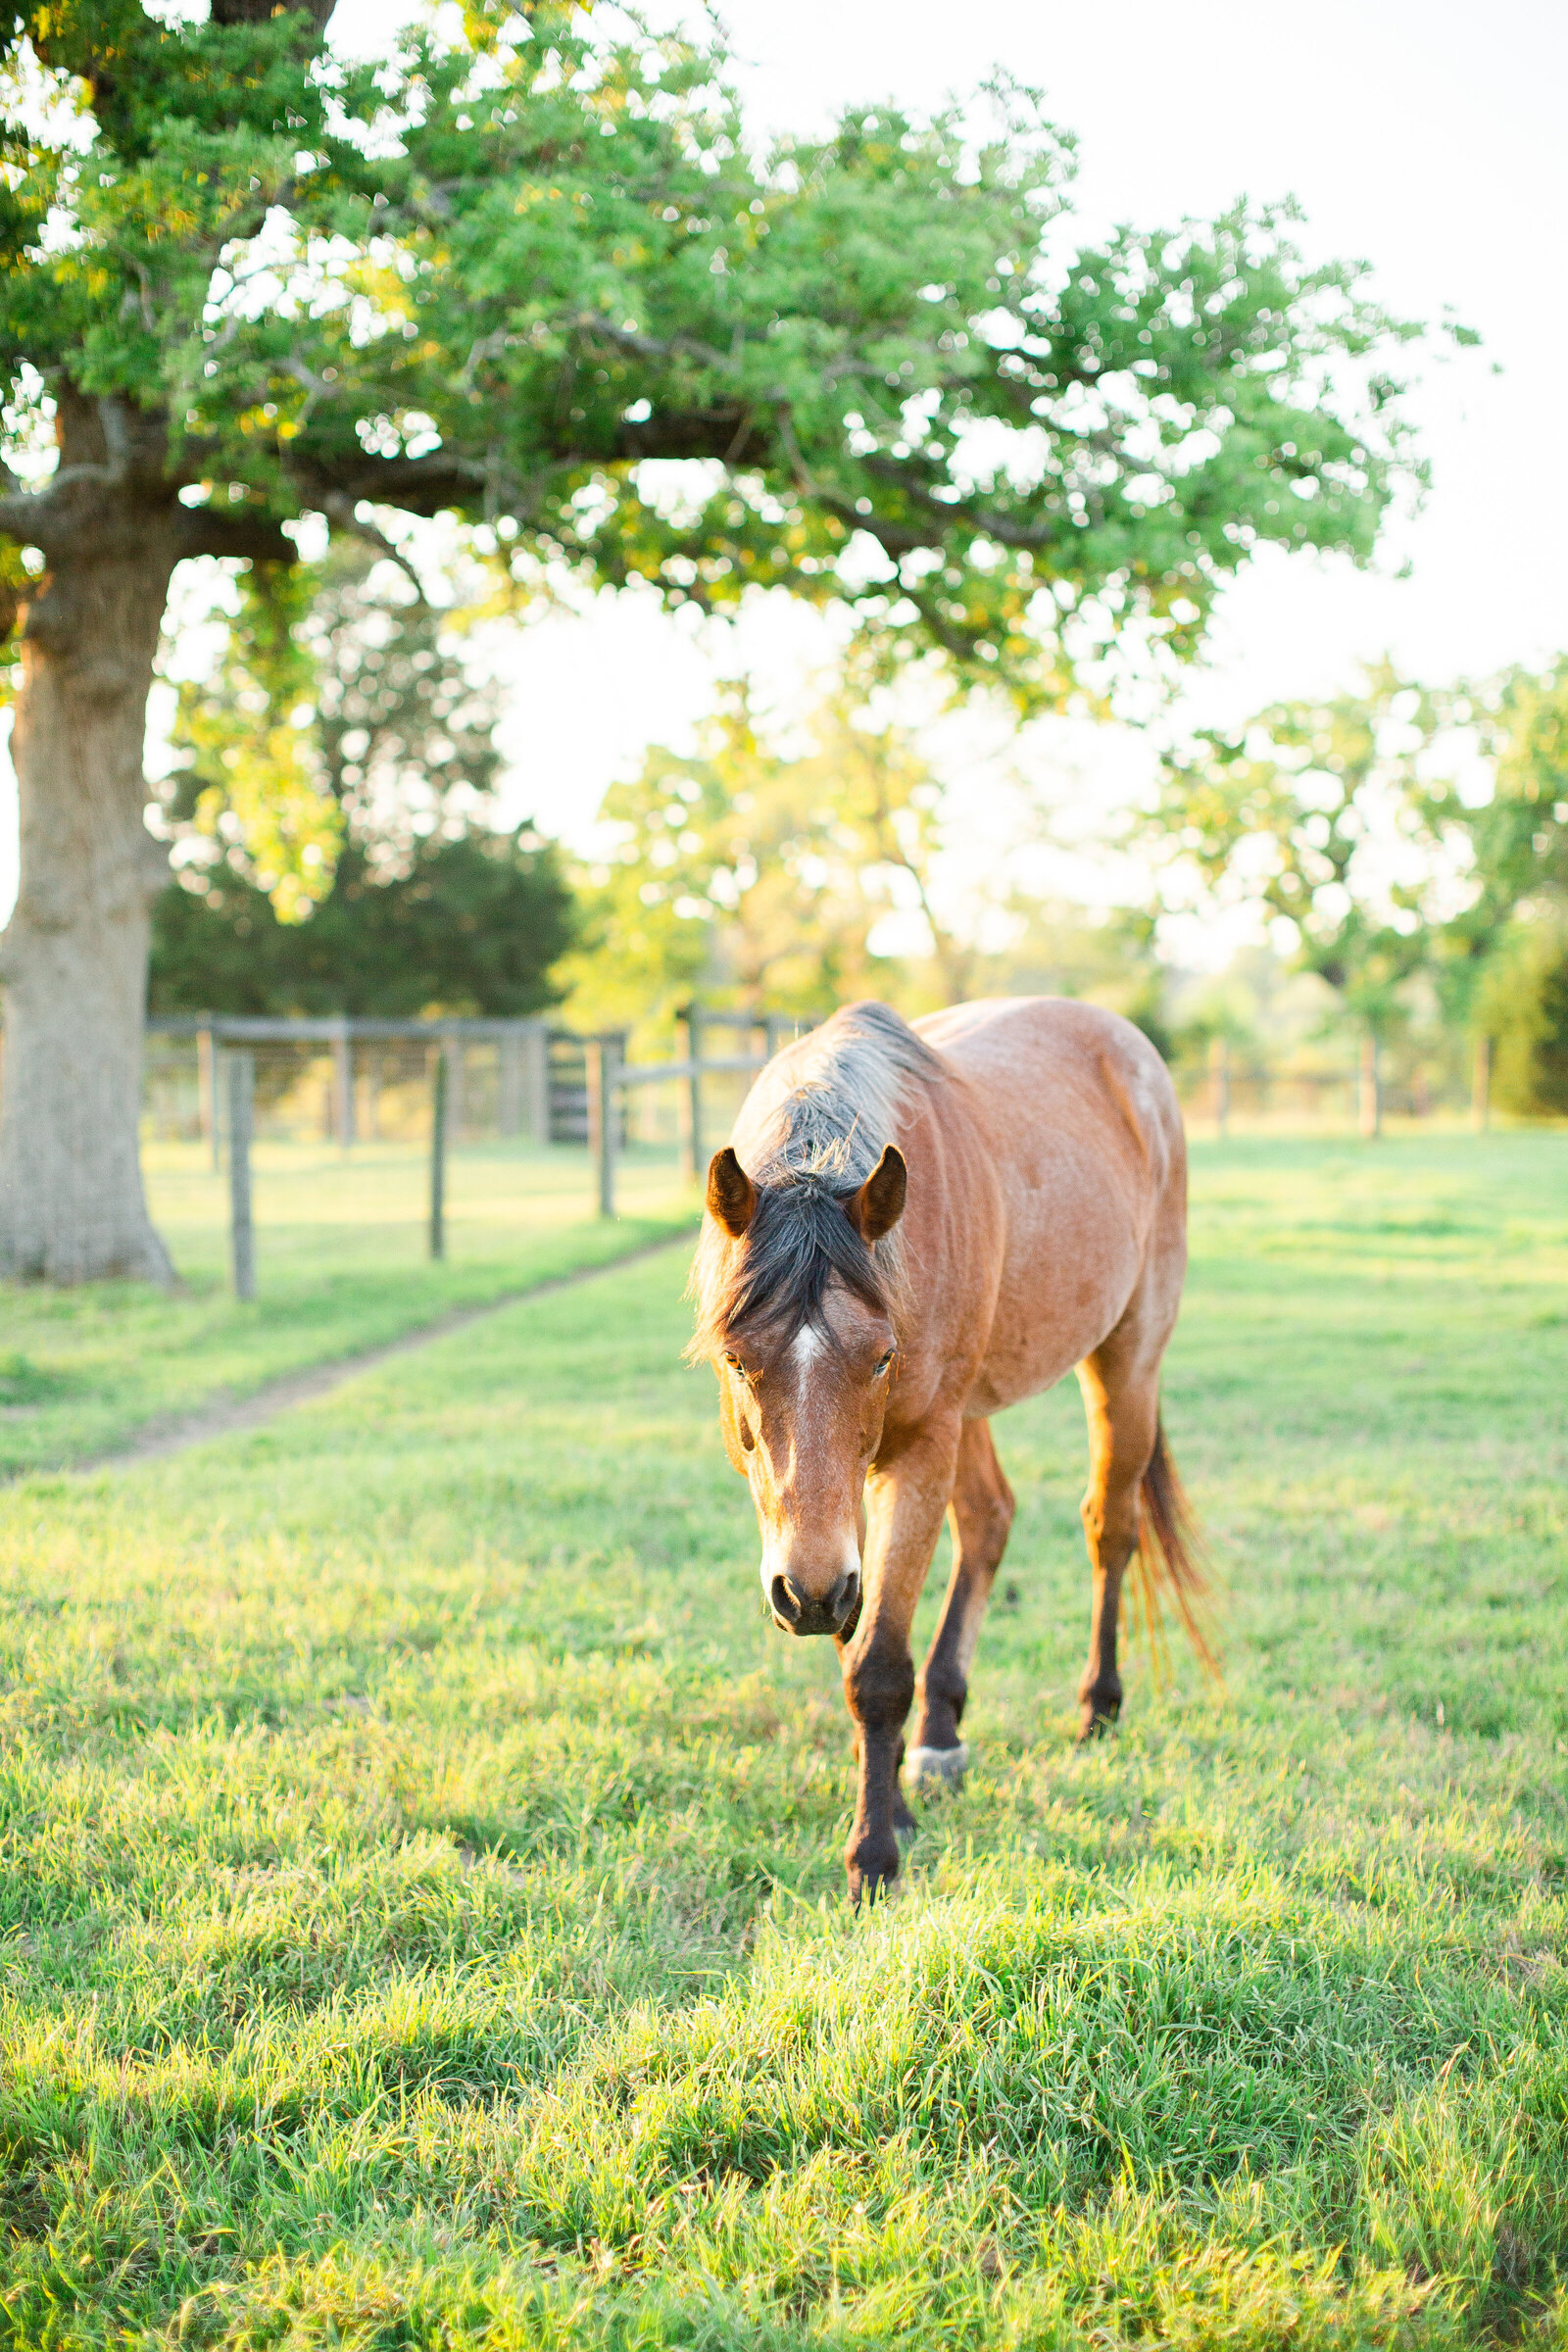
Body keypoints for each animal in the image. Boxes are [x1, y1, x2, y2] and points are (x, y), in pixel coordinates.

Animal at [691, 988, 1212, 1890]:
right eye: (735, 1360)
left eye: (881, 1356)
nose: (807, 1595)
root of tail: (1126, 1042)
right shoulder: (824, 1531)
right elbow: (856, 1641)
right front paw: (892, 1796)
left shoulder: (916, 1453)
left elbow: (878, 1667)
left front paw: (873, 1854)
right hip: (970, 1414)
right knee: (991, 1520)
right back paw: (940, 1735)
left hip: (1127, 1358)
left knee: (1111, 1528)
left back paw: (1098, 1704)